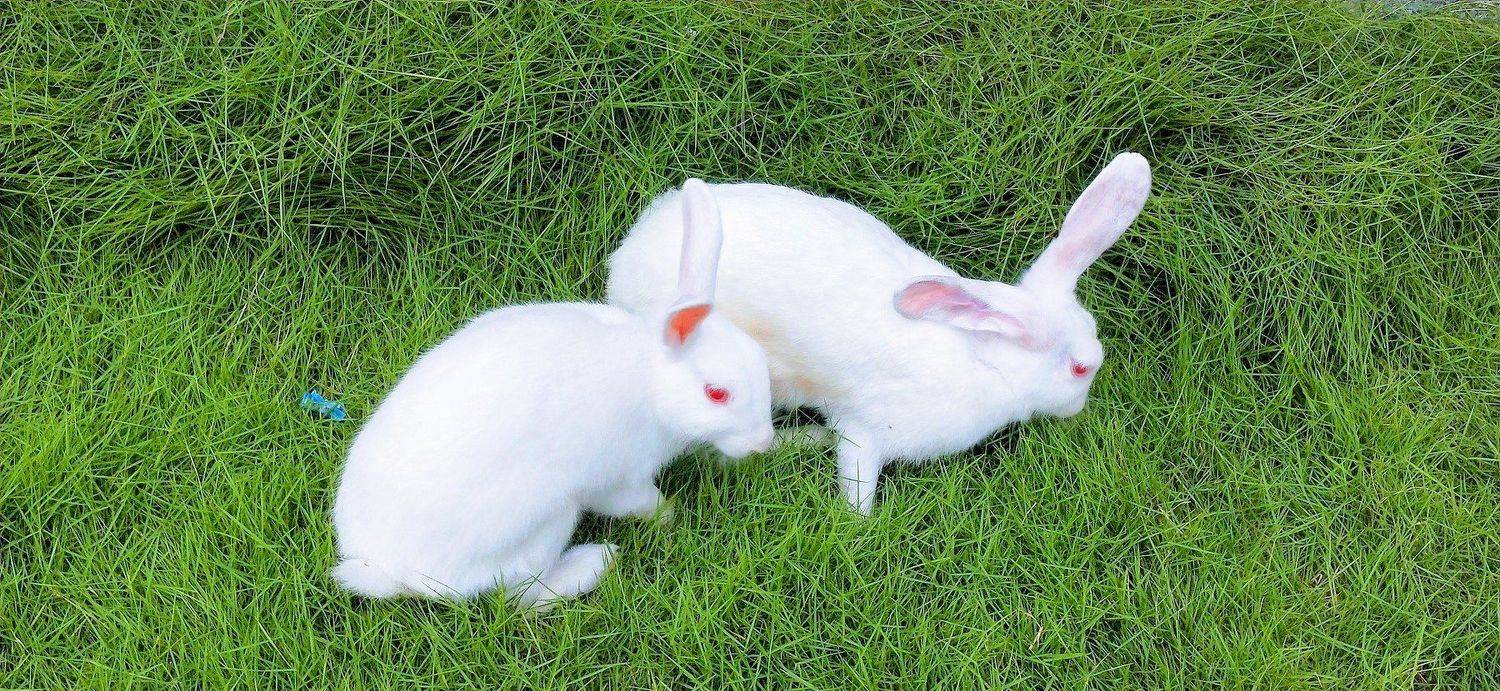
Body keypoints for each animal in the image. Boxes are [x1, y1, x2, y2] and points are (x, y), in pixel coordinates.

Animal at [331, 179, 774, 605]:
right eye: (716, 394)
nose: (761, 443)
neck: (651, 382)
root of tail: (391, 571)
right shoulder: (618, 478)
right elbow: (638, 501)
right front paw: (669, 515)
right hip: (547, 523)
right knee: (522, 597)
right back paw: (595, 562)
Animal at [606, 153, 1150, 514]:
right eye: (1080, 368)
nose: (1079, 410)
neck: (982, 361)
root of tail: (625, 260)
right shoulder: (868, 432)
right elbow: (857, 476)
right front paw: (860, 525)